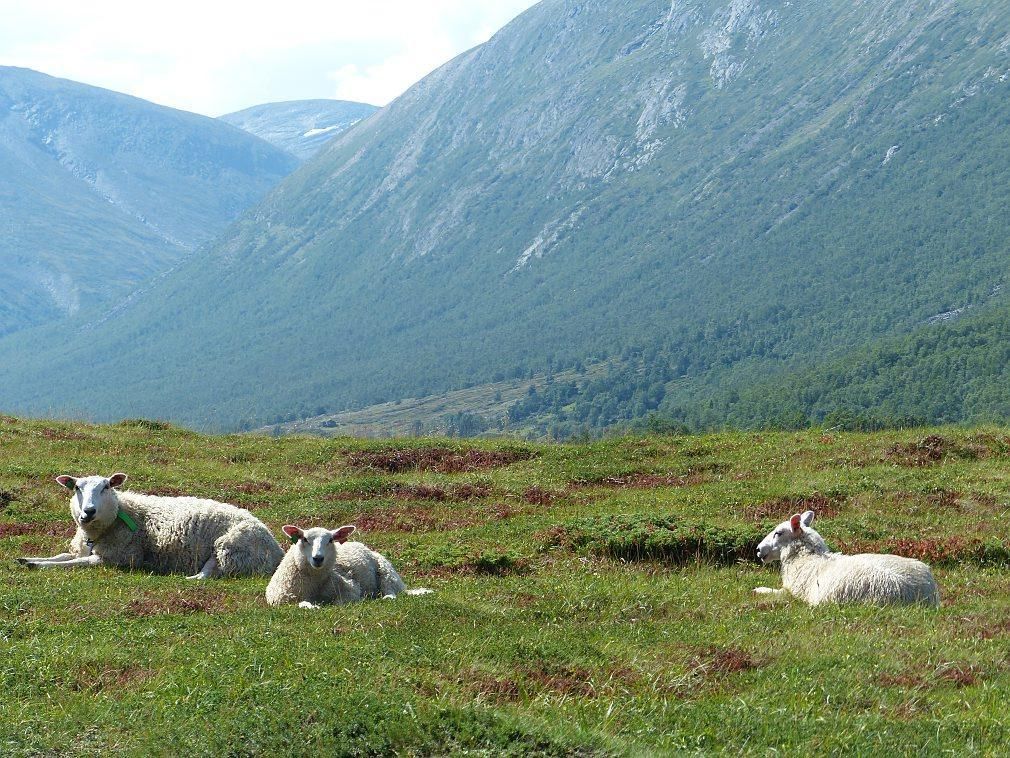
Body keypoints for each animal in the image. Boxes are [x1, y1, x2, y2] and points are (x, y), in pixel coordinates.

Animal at [17, 473, 284, 579]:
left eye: (106, 486)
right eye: (76, 488)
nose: (88, 512)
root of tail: (277, 550)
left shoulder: (117, 557)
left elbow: (76, 563)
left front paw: (36, 565)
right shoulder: (83, 547)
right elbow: (63, 556)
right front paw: (28, 559)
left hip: (227, 548)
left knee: (206, 576)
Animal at [266, 524, 432, 609]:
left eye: (330, 540)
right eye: (304, 539)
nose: (318, 558)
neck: (314, 586)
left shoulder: (350, 590)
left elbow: (339, 603)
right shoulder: (280, 599)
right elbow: (302, 604)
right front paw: (311, 606)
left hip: (386, 571)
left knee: (390, 592)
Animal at [754, 510, 941, 607]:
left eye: (778, 533)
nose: (758, 549)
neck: (808, 559)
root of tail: (920, 593)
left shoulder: (794, 593)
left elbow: (775, 593)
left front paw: (758, 590)